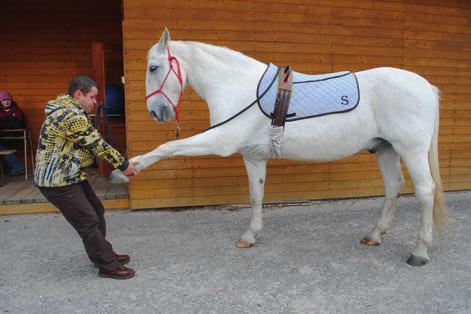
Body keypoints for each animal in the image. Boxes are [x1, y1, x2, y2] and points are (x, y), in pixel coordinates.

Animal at [131, 28, 448, 266]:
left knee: (424, 192)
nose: (155, 112)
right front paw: (250, 236)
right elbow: (256, 196)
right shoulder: (253, 156)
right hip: (385, 149)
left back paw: (419, 252)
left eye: (154, 67)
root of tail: (425, 86)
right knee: (394, 186)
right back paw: (374, 234)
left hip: (410, 149)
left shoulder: (220, 141)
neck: (238, 87)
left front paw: (134, 165)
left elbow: (170, 146)